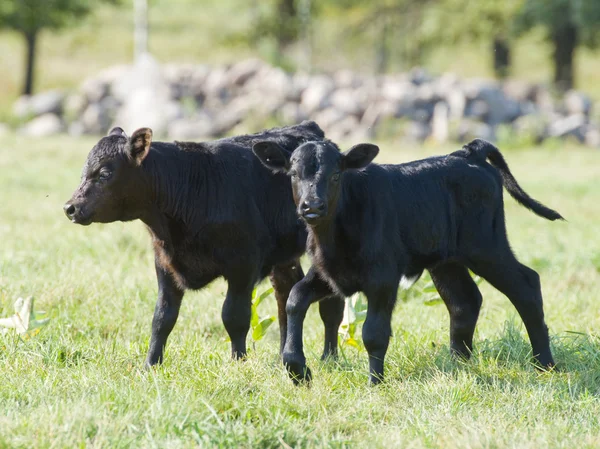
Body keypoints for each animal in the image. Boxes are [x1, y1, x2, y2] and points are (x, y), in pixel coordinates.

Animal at [64, 121, 346, 366]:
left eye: (105, 173)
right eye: (84, 171)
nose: (70, 207)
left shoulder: (243, 266)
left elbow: (234, 316)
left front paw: (238, 362)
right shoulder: (164, 264)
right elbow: (162, 317)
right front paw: (150, 364)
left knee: (331, 304)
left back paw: (329, 357)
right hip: (283, 258)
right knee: (285, 292)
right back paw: (282, 355)